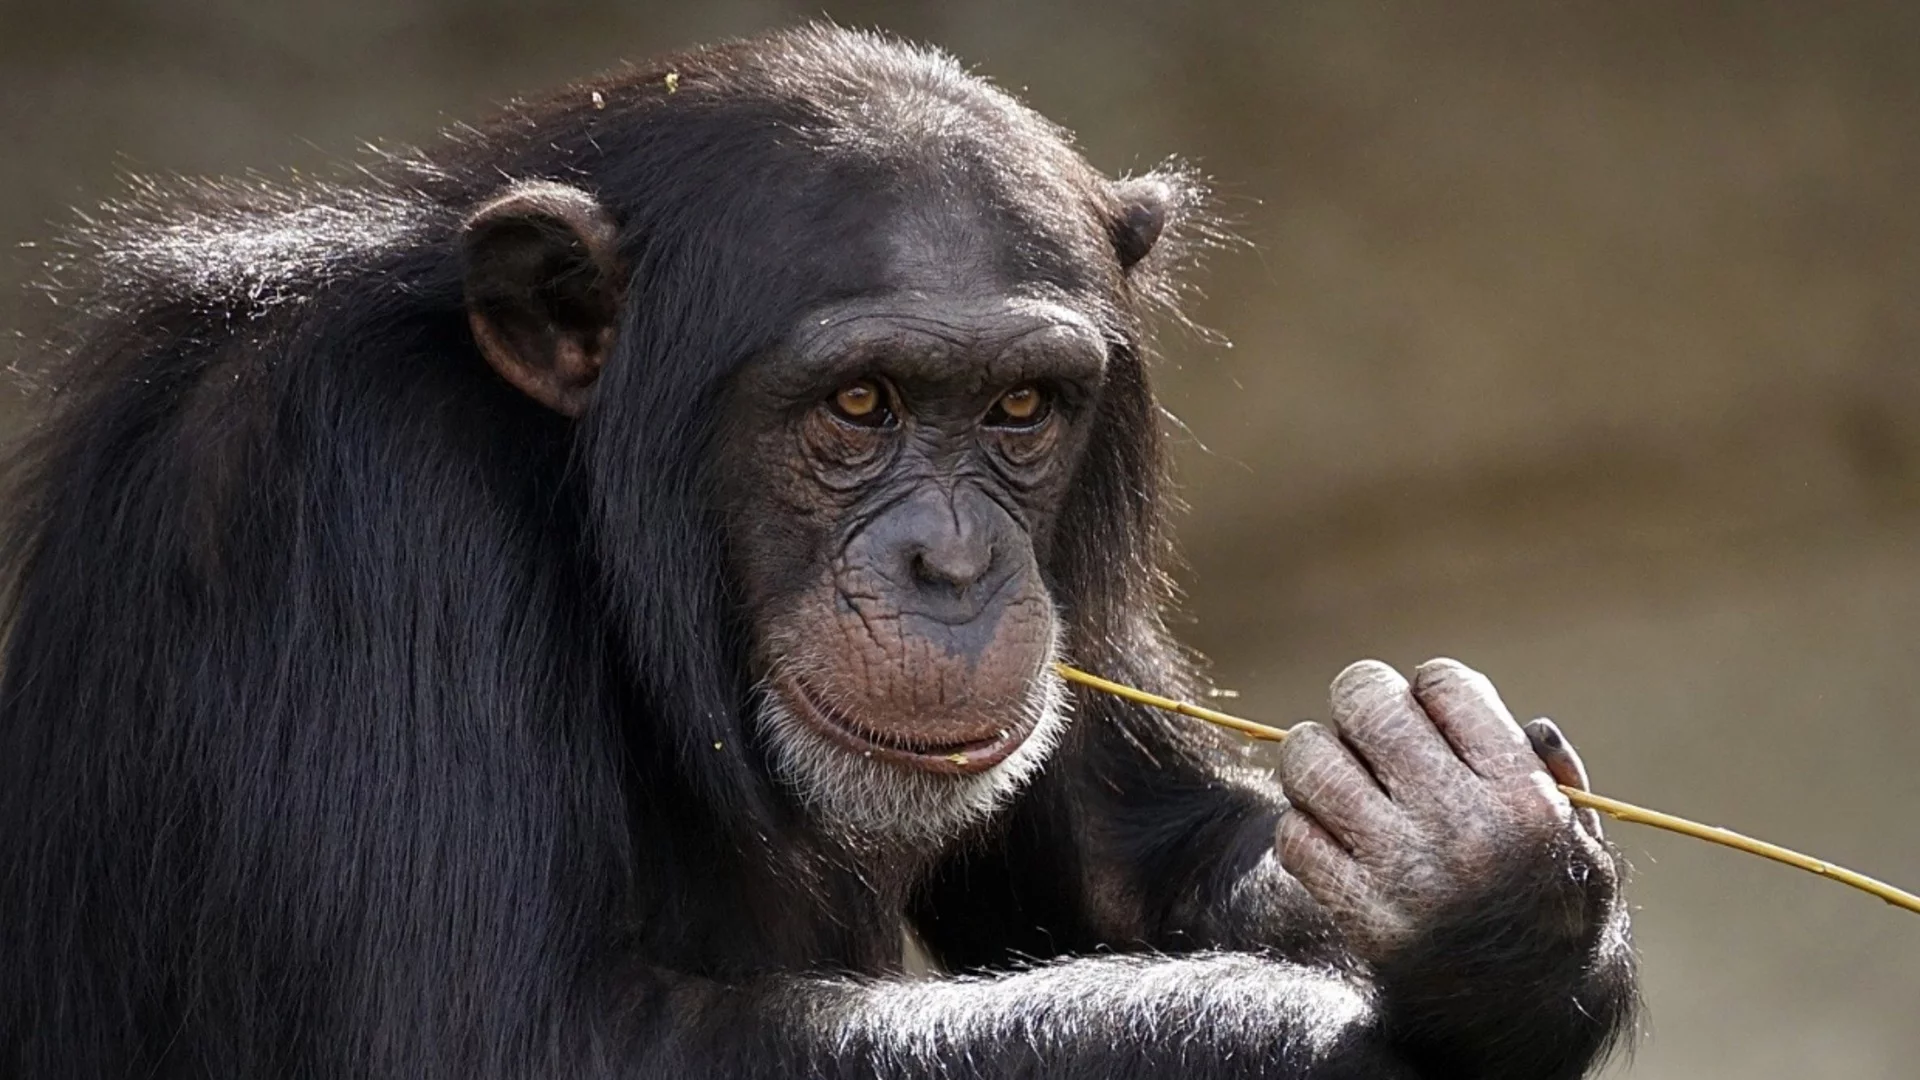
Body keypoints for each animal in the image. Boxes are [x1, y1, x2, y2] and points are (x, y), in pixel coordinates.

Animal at [0, 25, 1635, 1076]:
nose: (958, 565)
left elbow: (1128, 862)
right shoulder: (347, 492)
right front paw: (1339, 1033)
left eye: (1021, 409)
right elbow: (498, 1036)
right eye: (861, 405)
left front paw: (1488, 879)